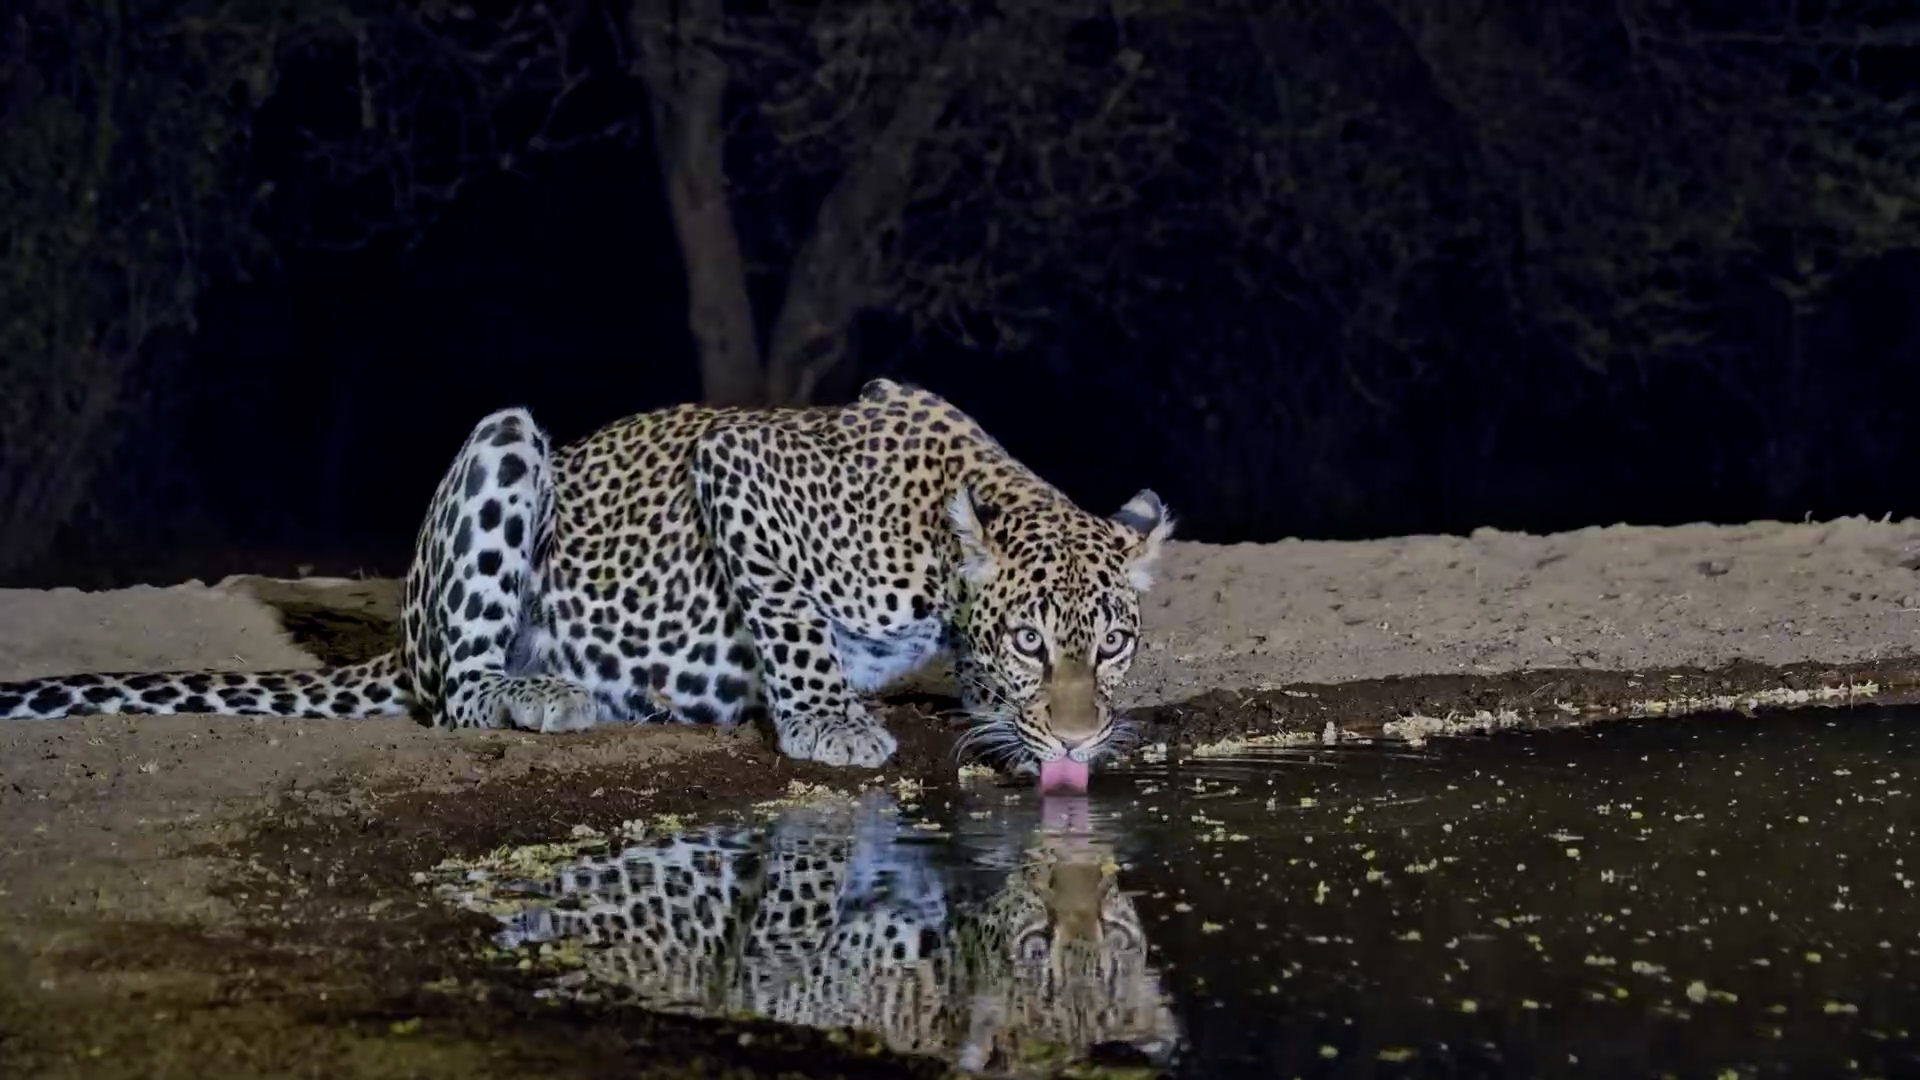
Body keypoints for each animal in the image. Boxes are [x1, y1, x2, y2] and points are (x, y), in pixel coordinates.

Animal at [0, 378, 1174, 771]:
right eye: (1030, 641)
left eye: (1113, 642)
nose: (1080, 741)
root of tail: (402, 638)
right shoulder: (737, 465)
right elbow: (791, 623)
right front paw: (826, 723)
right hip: (506, 447)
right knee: (453, 696)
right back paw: (547, 693)